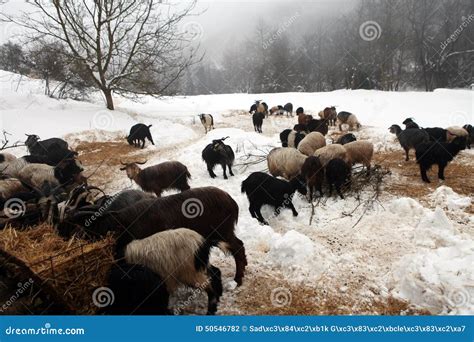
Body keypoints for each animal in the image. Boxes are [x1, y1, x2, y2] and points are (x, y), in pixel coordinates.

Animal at [57, 186, 246, 284]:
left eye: (80, 227)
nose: (64, 238)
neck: (122, 221)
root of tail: (231, 202)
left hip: (223, 231)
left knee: (238, 248)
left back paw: (238, 279)